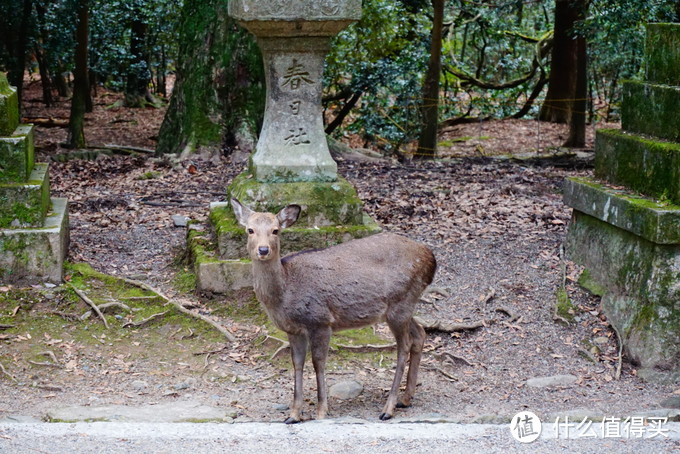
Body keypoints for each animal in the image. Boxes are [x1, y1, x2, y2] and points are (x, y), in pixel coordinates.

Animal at [231, 199, 438, 422]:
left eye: (275, 230)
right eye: (250, 229)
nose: (263, 249)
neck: (285, 293)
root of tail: (431, 259)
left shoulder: (321, 320)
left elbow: (318, 362)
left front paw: (322, 411)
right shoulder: (293, 330)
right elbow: (297, 363)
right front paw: (294, 414)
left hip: (400, 304)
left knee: (404, 346)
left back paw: (388, 408)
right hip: (404, 307)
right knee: (420, 333)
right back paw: (405, 399)